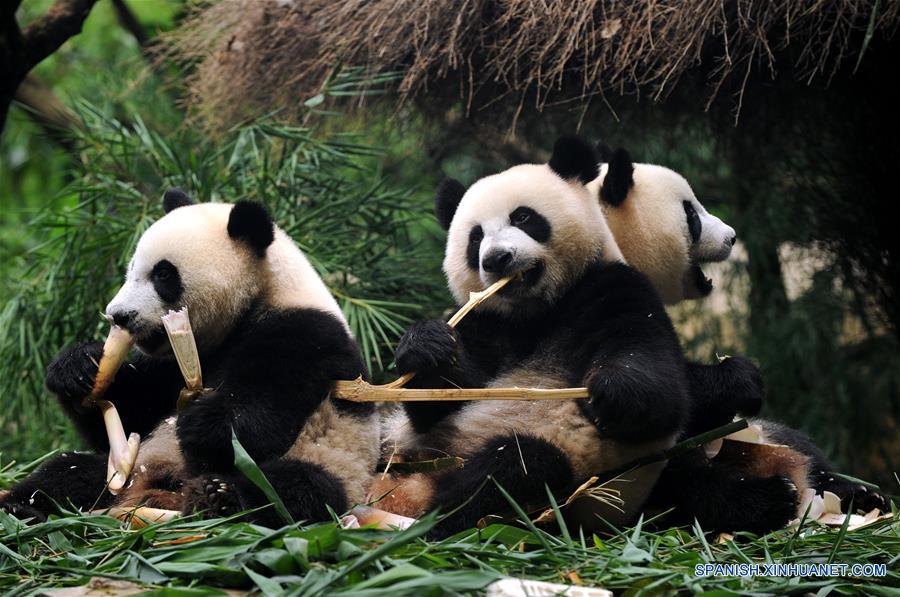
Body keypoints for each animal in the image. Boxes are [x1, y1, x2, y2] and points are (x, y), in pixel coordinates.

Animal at [1, 192, 380, 527]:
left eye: (163, 274)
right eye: (132, 268)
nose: (118, 316)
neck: (264, 293)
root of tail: (158, 489)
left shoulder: (307, 333)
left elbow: (266, 411)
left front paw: (203, 424)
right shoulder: (172, 363)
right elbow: (133, 412)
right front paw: (77, 367)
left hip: (336, 463)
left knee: (293, 489)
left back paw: (217, 497)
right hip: (125, 471)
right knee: (68, 472)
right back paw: (22, 508)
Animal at [379, 136, 691, 537]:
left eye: (523, 218)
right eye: (475, 237)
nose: (496, 258)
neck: (537, 311)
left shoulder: (613, 288)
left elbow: (663, 395)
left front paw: (610, 391)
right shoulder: (487, 321)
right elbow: (442, 399)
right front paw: (427, 345)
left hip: (571, 471)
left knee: (512, 469)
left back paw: (435, 521)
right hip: (400, 448)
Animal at [590, 144, 887, 532]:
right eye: (690, 213)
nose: (732, 236)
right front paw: (740, 379)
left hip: (765, 433)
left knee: (799, 445)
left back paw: (855, 493)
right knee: (680, 484)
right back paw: (770, 498)